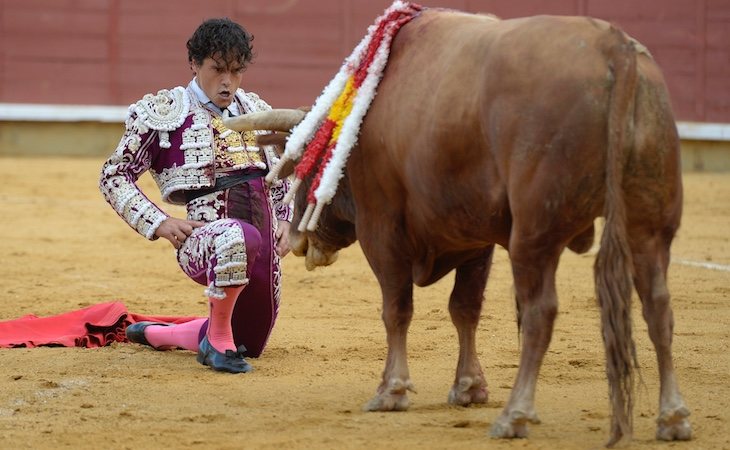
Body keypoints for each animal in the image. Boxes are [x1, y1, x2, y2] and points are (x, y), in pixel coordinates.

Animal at [225, 7, 692, 446]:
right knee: (658, 306)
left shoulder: (382, 231)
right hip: (649, 227)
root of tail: (614, 47)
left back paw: (515, 414)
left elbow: (396, 308)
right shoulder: (475, 239)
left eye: (302, 160)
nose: (297, 241)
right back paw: (672, 416)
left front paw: (392, 390)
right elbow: (464, 308)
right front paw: (469, 387)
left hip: (534, 235)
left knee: (540, 312)